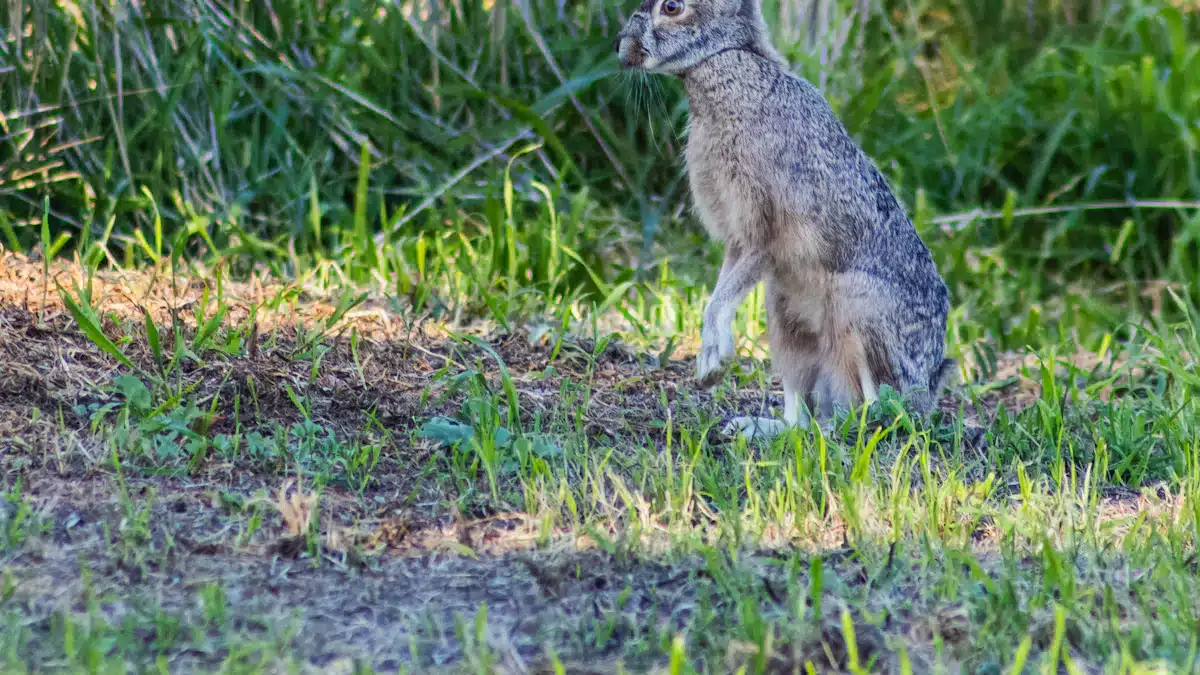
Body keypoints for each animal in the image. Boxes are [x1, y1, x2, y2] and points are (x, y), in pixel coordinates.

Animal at [614, 0, 950, 437]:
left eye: (672, 7)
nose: (621, 46)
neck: (726, 60)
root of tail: (925, 392)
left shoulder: (765, 229)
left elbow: (719, 300)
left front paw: (714, 363)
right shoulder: (738, 240)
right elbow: (719, 293)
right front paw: (709, 367)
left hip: (858, 310)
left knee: (874, 410)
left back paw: (836, 432)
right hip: (785, 313)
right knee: (799, 411)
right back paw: (759, 428)